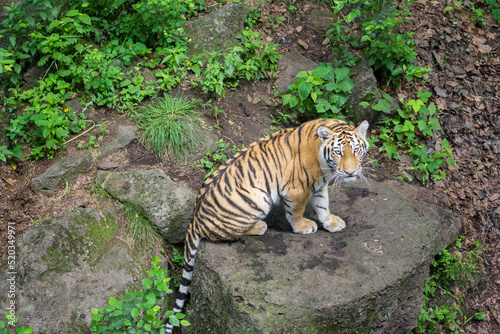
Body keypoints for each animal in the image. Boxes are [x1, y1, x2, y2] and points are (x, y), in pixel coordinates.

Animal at [166, 117, 370, 332]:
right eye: (338, 152)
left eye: (356, 150)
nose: (350, 172)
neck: (324, 161)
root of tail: (195, 218)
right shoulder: (297, 189)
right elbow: (297, 211)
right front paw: (303, 227)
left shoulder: (320, 184)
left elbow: (323, 204)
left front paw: (330, 222)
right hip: (258, 198)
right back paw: (259, 226)